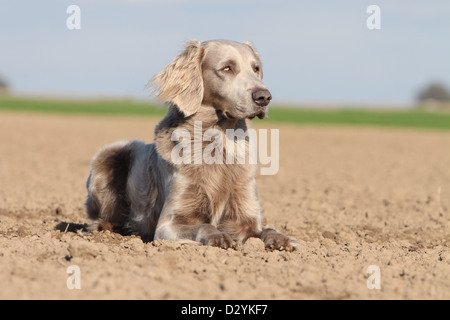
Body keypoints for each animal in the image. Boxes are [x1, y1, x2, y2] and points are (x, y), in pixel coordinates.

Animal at [86, 39, 300, 250]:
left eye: (256, 69)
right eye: (227, 68)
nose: (264, 97)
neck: (217, 142)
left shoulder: (246, 216)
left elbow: (266, 229)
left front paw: (284, 240)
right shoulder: (167, 225)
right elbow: (204, 225)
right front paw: (219, 236)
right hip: (110, 154)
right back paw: (101, 227)